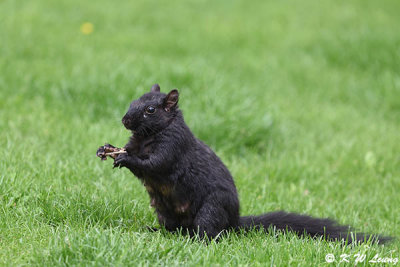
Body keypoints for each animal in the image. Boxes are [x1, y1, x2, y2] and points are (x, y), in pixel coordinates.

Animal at [98, 84, 392, 245]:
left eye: (151, 110)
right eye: (134, 101)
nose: (125, 120)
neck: (149, 135)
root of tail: (234, 222)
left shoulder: (173, 146)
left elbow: (155, 164)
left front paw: (124, 158)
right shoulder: (137, 142)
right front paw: (106, 148)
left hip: (211, 209)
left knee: (208, 233)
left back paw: (196, 241)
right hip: (164, 210)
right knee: (175, 228)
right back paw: (157, 231)